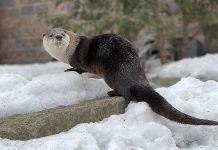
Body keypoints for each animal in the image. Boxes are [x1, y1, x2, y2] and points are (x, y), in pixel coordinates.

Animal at [42, 27, 218, 125]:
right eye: (51, 35)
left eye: (63, 33)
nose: (58, 36)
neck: (68, 52)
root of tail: (138, 78)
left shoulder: (77, 60)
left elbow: (78, 69)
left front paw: (70, 70)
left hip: (112, 75)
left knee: (126, 94)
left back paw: (112, 93)